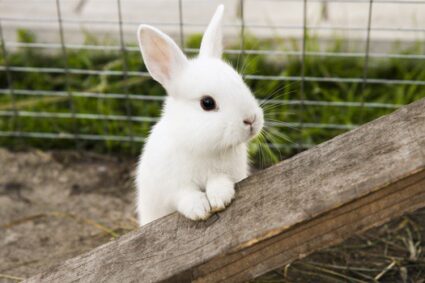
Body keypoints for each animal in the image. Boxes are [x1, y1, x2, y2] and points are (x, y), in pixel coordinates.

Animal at [136, 4, 262, 226]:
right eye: (207, 103)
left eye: (240, 81)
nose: (251, 120)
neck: (204, 147)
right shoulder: (171, 187)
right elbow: (184, 195)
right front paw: (199, 209)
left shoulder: (228, 173)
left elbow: (219, 181)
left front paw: (220, 198)